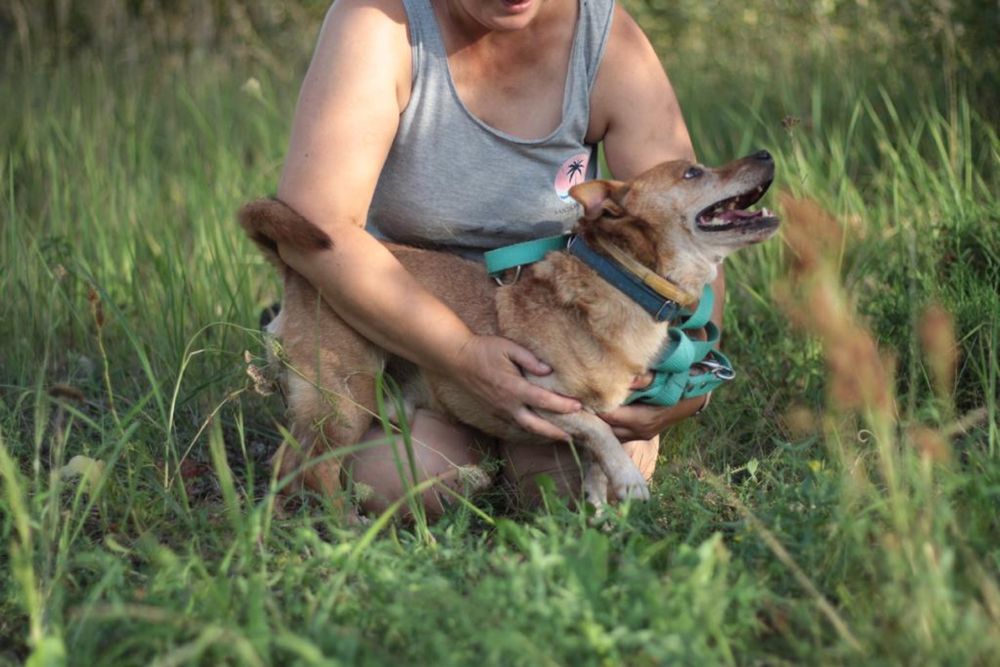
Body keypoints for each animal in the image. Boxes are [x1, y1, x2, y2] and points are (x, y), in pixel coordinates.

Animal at [240, 151, 780, 516]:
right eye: (693, 173)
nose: (765, 153)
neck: (624, 282)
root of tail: (293, 268)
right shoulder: (542, 396)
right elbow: (598, 429)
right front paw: (627, 480)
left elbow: (594, 455)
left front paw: (598, 501)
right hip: (348, 401)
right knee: (311, 467)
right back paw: (344, 527)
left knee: (290, 465)